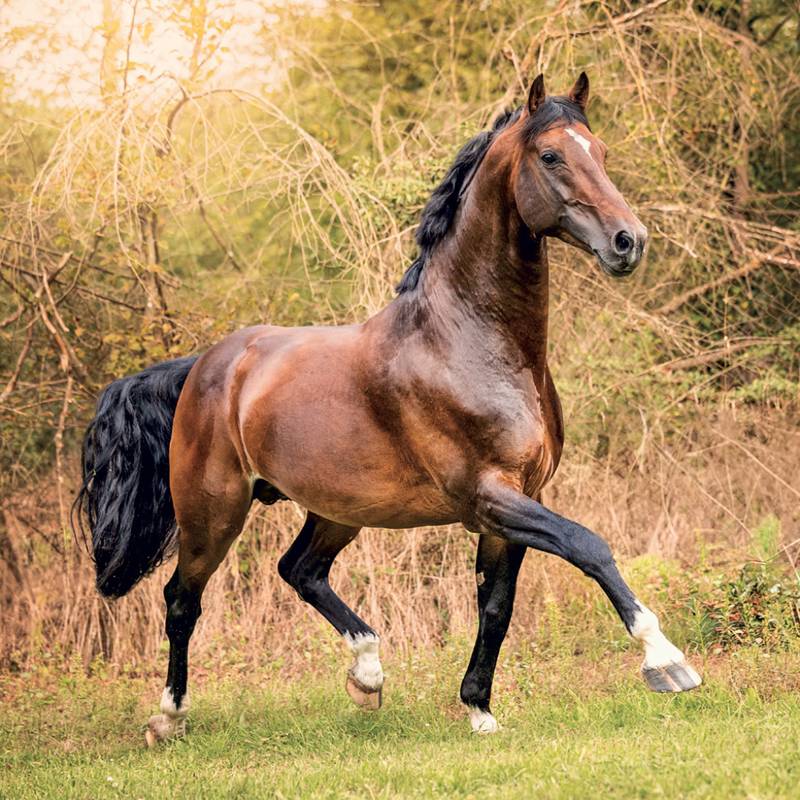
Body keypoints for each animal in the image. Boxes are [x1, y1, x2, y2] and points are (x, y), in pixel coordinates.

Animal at [74, 73, 701, 744]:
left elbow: (496, 607)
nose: (628, 242)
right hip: (212, 513)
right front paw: (666, 662)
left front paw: (479, 710)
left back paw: (368, 674)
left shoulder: (514, 503)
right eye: (552, 155)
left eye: (600, 151)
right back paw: (168, 718)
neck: (470, 343)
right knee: (181, 599)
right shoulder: (490, 497)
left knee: (300, 571)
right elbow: (589, 546)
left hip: (337, 508)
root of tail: (205, 367)